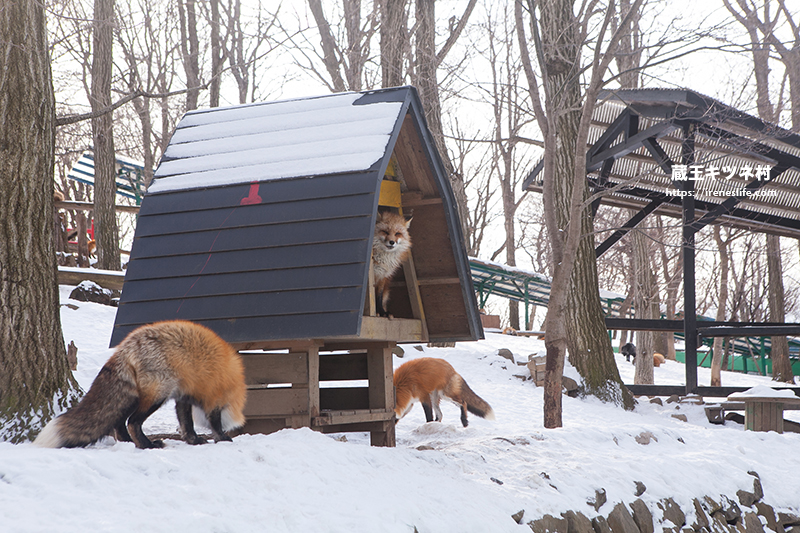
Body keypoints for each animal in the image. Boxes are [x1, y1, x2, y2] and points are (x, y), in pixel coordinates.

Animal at [34, 320, 245, 448]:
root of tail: (127, 345)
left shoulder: (184, 396)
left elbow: (187, 422)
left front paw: (193, 440)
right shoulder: (213, 398)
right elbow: (213, 421)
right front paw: (222, 437)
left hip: (134, 397)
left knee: (119, 424)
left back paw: (129, 443)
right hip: (157, 395)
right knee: (132, 422)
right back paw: (147, 445)